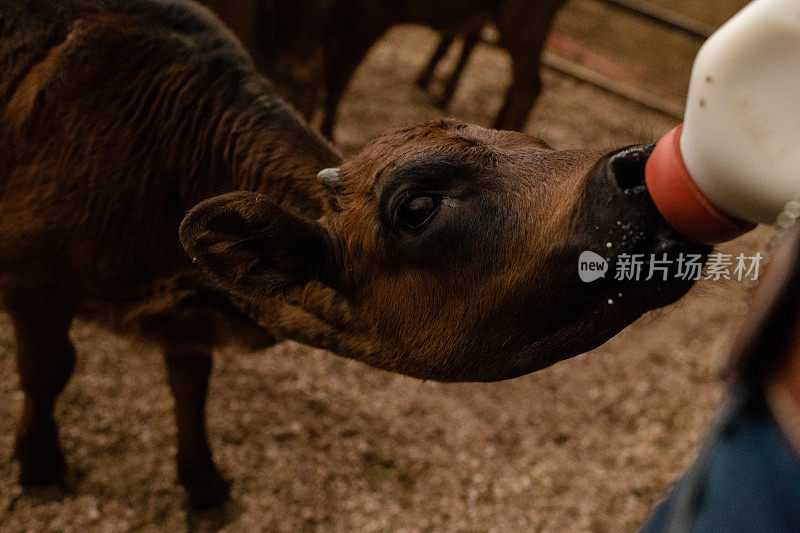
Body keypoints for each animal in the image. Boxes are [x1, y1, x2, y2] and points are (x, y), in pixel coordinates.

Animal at [1, 0, 708, 510]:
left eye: (534, 145)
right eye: (416, 206)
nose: (640, 166)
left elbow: (190, 386)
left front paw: (202, 485)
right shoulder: (33, 281)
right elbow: (49, 370)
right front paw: (41, 467)